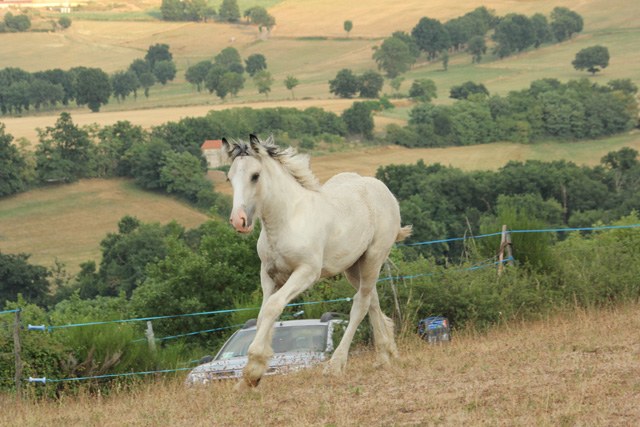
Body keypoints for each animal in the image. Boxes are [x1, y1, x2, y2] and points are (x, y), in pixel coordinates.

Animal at [222, 135, 412, 392]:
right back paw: (385, 355)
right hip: (354, 267)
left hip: (374, 256)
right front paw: (250, 379)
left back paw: (336, 365)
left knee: (360, 304)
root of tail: (383, 190)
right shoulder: (269, 275)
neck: (287, 219)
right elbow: (263, 314)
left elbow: (272, 307)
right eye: (229, 177)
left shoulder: (306, 273)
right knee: (371, 299)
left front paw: (252, 370)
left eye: (255, 175)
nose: (238, 221)